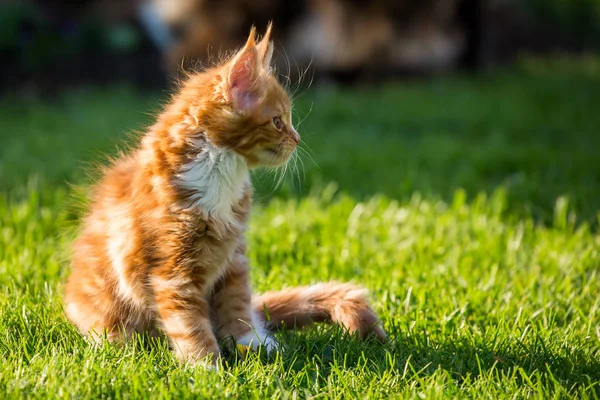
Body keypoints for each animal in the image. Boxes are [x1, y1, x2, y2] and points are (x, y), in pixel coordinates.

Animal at [64, 25, 384, 368]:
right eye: (278, 121)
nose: (297, 139)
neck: (222, 169)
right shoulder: (172, 270)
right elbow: (188, 322)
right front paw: (205, 366)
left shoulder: (233, 258)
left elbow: (237, 306)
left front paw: (252, 345)